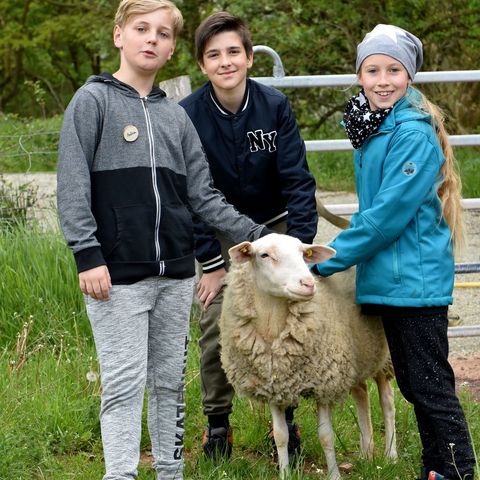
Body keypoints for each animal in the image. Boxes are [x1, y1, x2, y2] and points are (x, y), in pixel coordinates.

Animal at [218, 232, 398, 476]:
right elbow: (280, 436)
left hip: (383, 355)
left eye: (304, 254)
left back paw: (391, 455)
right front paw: (285, 474)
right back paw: (366, 453)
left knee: (387, 401)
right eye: (264, 255)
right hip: (358, 355)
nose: (309, 283)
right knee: (362, 394)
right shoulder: (273, 386)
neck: (272, 324)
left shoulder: (324, 384)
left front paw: (334, 475)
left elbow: (326, 437)